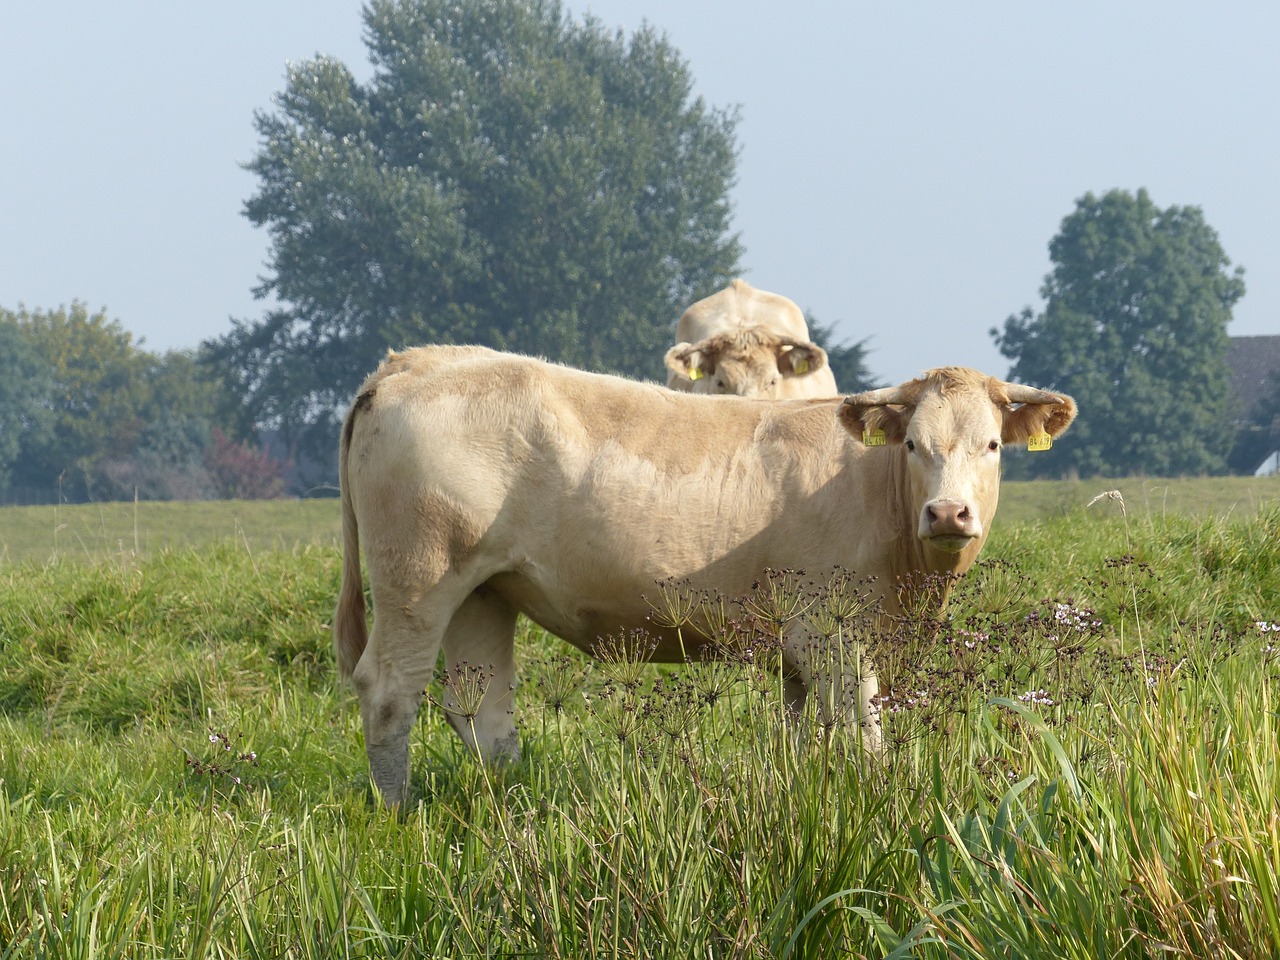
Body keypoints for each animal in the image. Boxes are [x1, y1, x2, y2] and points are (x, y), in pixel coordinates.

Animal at [335, 345, 1075, 803]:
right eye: (915, 444)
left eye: (991, 444)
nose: (948, 512)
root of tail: (414, 362)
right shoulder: (832, 634)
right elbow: (863, 740)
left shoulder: (796, 648)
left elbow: (801, 738)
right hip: (419, 579)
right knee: (390, 693)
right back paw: (399, 815)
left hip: (484, 591)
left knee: (482, 710)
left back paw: (511, 807)